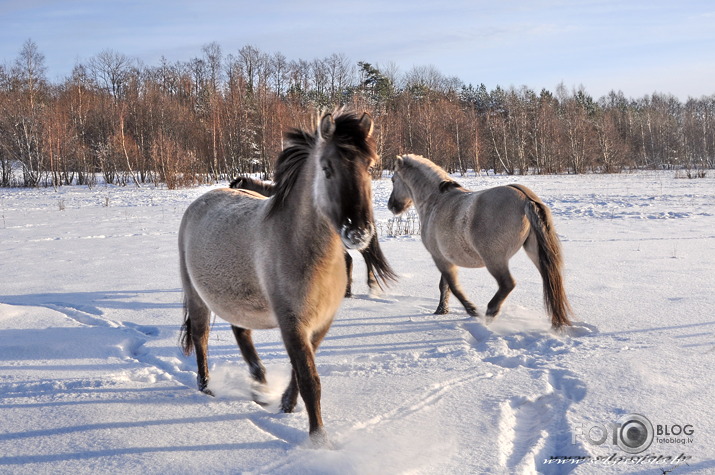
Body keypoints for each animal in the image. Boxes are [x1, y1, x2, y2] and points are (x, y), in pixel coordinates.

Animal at [388, 154, 572, 330]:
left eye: (393, 180)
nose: (391, 205)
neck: (435, 200)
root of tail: (526, 199)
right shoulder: (445, 258)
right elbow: (445, 285)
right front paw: (442, 310)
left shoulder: (439, 258)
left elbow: (453, 286)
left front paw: (471, 310)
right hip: (534, 253)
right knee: (552, 282)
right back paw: (556, 322)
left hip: (494, 260)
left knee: (508, 284)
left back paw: (491, 313)